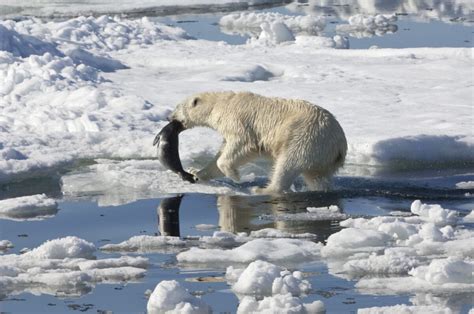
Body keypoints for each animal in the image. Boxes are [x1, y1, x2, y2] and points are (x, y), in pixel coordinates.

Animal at [168, 91, 346, 194]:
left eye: (177, 107)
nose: (170, 117)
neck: (222, 103)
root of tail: (339, 144)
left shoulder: (238, 122)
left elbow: (240, 146)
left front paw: (235, 176)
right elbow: (222, 152)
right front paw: (196, 172)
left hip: (304, 137)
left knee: (288, 163)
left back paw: (262, 189)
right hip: (321, 155)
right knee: (317, 177)